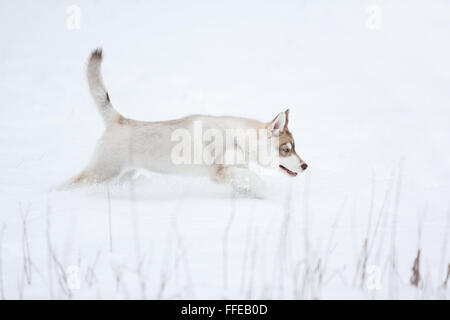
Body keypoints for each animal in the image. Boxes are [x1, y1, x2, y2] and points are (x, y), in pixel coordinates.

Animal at [61, 49, 308, 198]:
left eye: (293, 148)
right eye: (286, 149)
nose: (305, 165)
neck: (238, 139)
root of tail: (119, 119)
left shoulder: (235, 170)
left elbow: (246, 180)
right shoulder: (218, 172)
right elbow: (252, 178)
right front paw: (263, 190)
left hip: (120, 175)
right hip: (101, 172)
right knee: (66, 185)